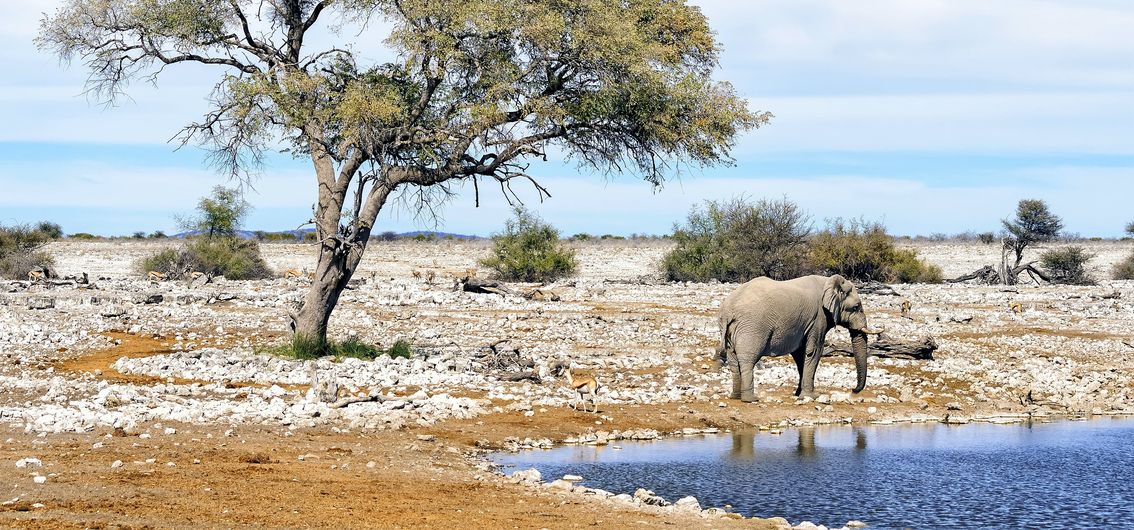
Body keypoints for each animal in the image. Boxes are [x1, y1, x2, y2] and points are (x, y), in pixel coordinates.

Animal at [717, 274, 876, 402]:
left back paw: (735, 397)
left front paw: (799, 394)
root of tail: (728, 310)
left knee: (733, 361)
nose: (853, 391)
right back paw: (750, 399)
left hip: (731, 331)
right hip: (752, 327)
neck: (828, 281)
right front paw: (812, 397)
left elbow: (800, 355)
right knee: (747, 360)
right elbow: (814, 352)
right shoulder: (818, 318)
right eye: (856, 307)